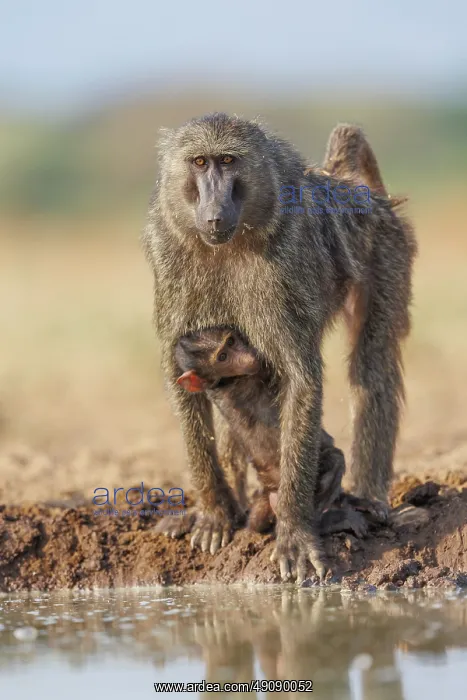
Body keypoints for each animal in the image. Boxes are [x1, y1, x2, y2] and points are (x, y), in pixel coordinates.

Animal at [170, 326, 371, 538]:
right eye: (222, 357)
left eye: (231, 342)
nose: (247, 355)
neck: (226, 382)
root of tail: (271, 491)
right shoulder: (251, 377)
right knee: (334, 460)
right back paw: (331, 520)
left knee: (255, 524)